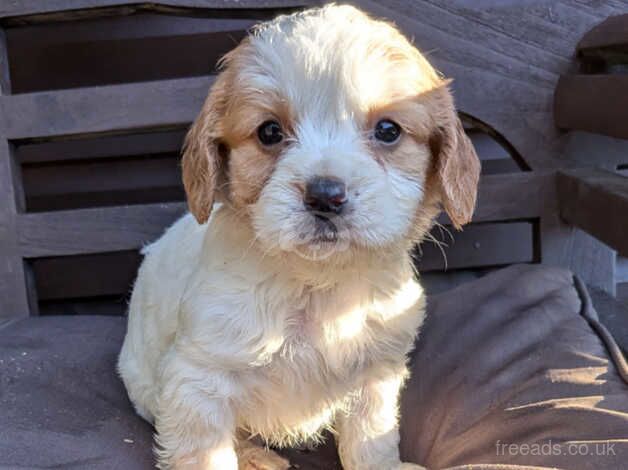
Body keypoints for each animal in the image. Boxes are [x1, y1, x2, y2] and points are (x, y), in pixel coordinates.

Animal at [119, 4, 480, 470]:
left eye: (388, 130)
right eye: (269, 132)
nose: (325, 195)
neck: (316, 284)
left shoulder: (375, 376)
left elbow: (373, 445)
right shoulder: (198, 380)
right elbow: (207, 452)